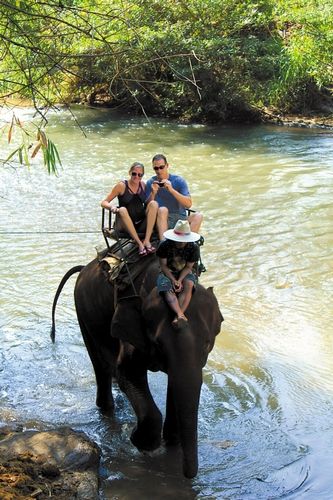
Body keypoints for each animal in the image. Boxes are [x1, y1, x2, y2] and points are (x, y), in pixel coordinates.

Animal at [51, 252, 223, 478]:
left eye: (207, 344)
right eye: (158, 344)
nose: (187, 476)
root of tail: (86, 267)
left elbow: (177, 382)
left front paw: (171, 442)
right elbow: (127, 372)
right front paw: (141, 442)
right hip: (83, 311)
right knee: (101, 364)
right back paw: (107, 406)